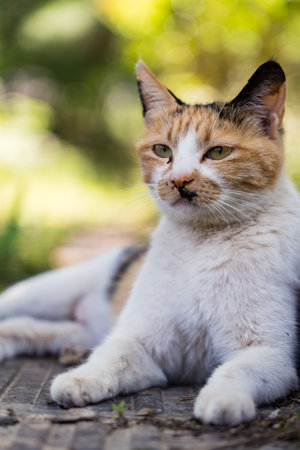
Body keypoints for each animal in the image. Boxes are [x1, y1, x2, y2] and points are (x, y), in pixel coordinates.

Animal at [0, 59, 300, 426]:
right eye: (162, 150)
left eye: (218, 152)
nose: (179, 180)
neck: (201, 243)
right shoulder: (140, 340)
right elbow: (111, 357)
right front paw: (81, 379)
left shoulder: (269, 353)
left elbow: (236, 371)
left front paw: (222, 400)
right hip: (44, 291)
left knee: (34, 329)